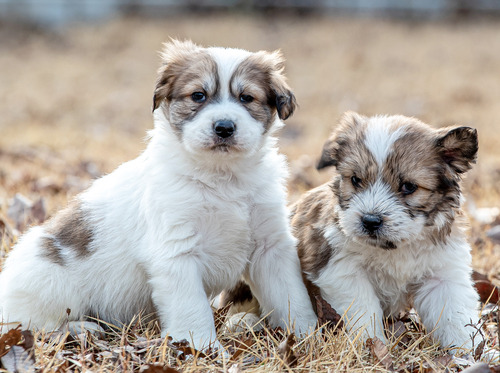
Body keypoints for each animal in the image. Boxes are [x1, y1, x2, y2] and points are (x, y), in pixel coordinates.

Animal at [0, 40, 316, 352]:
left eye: (246, 98)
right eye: (198, 95)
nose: (224, 127)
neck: (222, 178)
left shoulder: (270, 247)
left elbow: (292, 295)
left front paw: (308, 334)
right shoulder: (177, 251)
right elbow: (193, 308)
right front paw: (203, 347)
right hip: (50, 285)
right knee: (35, 325)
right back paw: (81, 328)